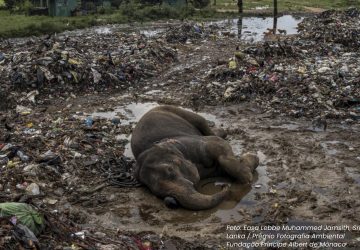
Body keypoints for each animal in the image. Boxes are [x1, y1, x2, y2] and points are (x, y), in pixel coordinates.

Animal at [130, 104, 258, 210]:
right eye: (158, 193)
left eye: (170, 170)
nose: (223, 185)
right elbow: (220, 169)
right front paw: (251, 161)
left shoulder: (193, 143)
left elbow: (218, 144)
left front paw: (247, 176)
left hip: (175, 110)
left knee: (203, 123)